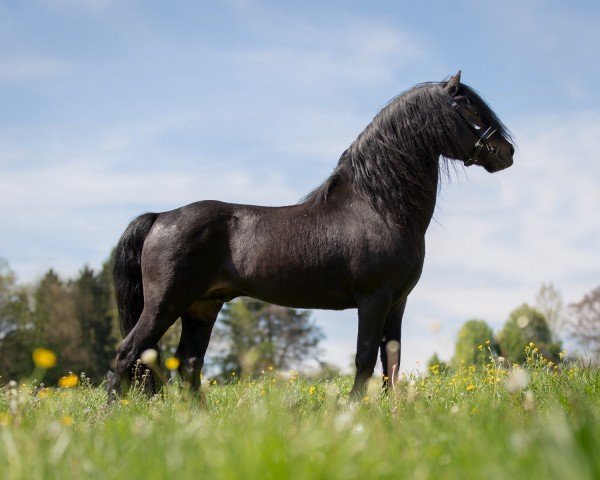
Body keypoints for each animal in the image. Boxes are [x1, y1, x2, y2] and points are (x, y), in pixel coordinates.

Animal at [106, 71, 510, 400]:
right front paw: (354, 411)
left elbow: (390, 363)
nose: (507, 153)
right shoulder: (374, 299)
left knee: (189, 365)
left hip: (202, 307)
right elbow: (365, 359)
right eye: (470, 109)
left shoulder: (398, 302)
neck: (378, 207)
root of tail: (160, 218)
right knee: (128, 353)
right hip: (166, 304)